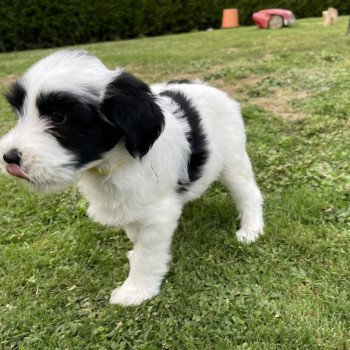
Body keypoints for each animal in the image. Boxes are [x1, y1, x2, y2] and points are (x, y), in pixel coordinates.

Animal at [0, 50, 262, 306]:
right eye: (19, 112)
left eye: (57, 116)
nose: (8, 157)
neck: (111, 164)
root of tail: (205, 86)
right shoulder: (129, 204)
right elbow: (135, 233)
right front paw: (134, 256)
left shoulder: (157, 215)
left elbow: (148, 253)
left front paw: (136, 290)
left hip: (233, 160)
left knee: (248, 193)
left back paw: (252, 230)